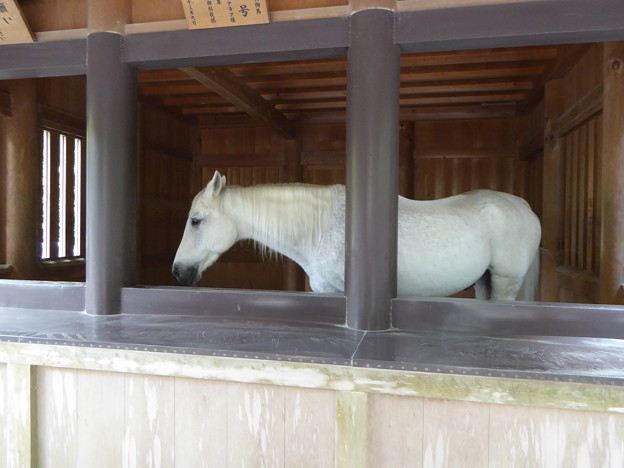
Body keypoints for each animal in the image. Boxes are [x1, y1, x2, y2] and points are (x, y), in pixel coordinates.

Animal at [172, 172, 540, 300]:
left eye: (196, 221)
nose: (178, 272)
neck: (322, 229)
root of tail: (524, 207)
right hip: (484, 282)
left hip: (505, 282)